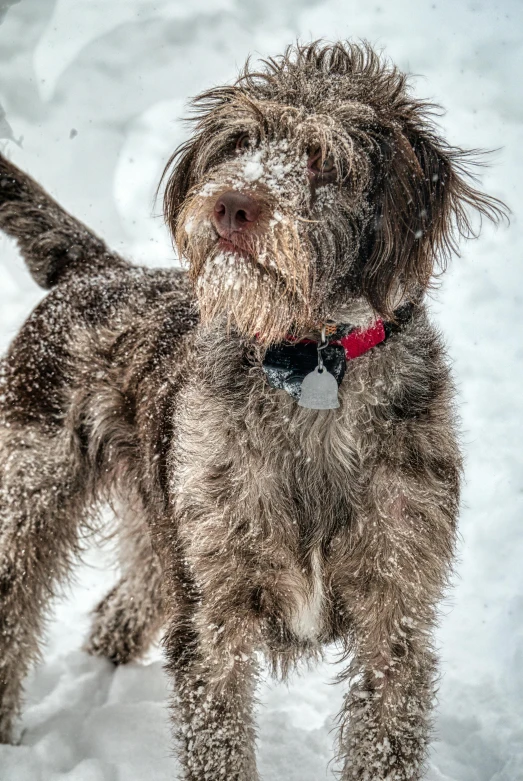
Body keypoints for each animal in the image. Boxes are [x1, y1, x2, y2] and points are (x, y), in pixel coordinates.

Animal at [1, 42, 508, 780]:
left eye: (321, 157)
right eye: (238, 144)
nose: (231, 205)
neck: (309, 362)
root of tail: (99, 271)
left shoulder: (395, 615)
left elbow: (384, 733)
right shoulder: (215, 612)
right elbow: (219, 738)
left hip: (159, 527)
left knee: (124, 601)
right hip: (31, 502)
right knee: (16, 612)